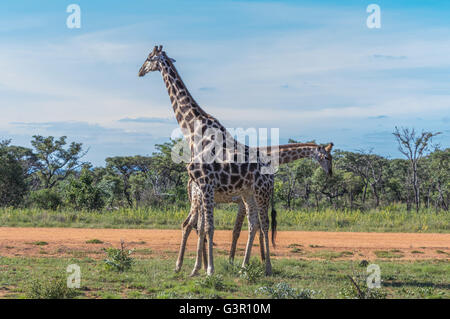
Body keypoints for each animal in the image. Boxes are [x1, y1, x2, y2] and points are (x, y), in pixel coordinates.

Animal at [137, 45, 278, 278]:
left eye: (149, 58)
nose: (140, 71)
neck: (193, 129)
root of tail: (273, 175)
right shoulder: (201, 187)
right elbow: (202, 227)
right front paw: (196, 269)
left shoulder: (205, 184)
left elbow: (209, 227)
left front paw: (209, 270)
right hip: (248, 194)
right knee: (253, 224)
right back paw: (243, 267)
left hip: (261, 192)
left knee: (264, 224)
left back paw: (267, 268)